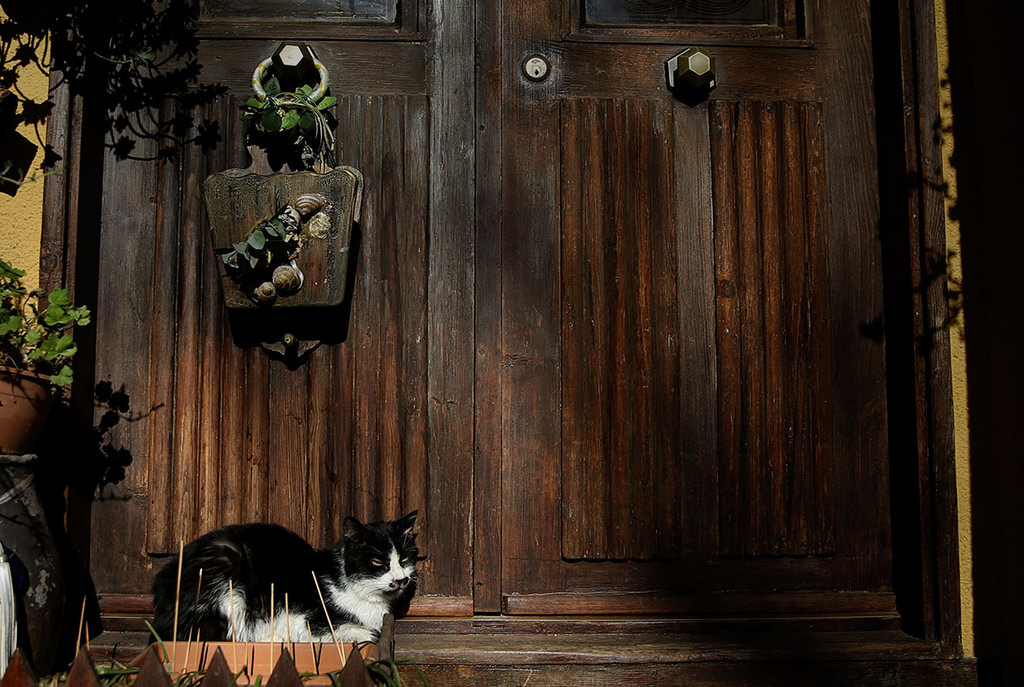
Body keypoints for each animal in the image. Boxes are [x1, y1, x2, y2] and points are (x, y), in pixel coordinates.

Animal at [151, 509, 415, 647]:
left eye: (404, 559)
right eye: (378, 562)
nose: (401, 579)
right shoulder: (298, 612)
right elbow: (323, 628)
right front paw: (364, 633)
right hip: (227, 575)